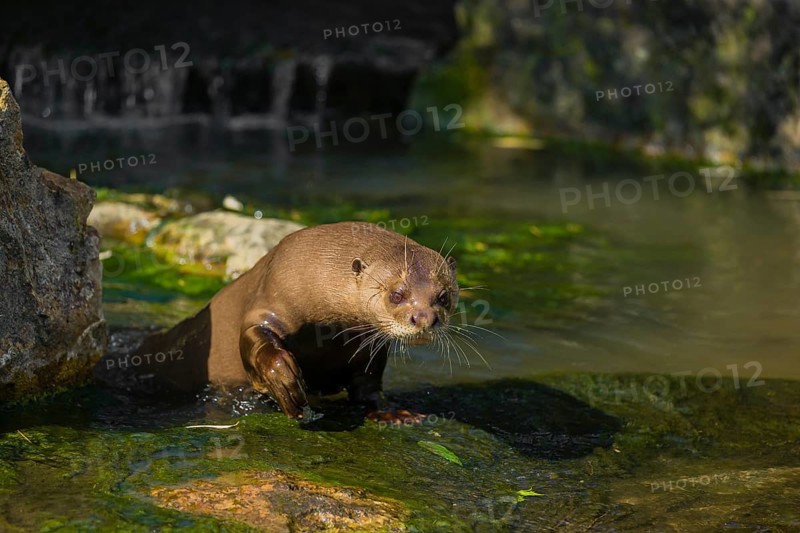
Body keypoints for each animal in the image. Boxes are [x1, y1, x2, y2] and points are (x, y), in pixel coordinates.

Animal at [98, 221, 460, 423]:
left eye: (443, 296)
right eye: (396, 294)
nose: (424, 318)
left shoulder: (367, 346)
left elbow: (368, 384)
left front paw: (392, 412)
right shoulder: (271, 295)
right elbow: (255, 339)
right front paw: (285, 383)